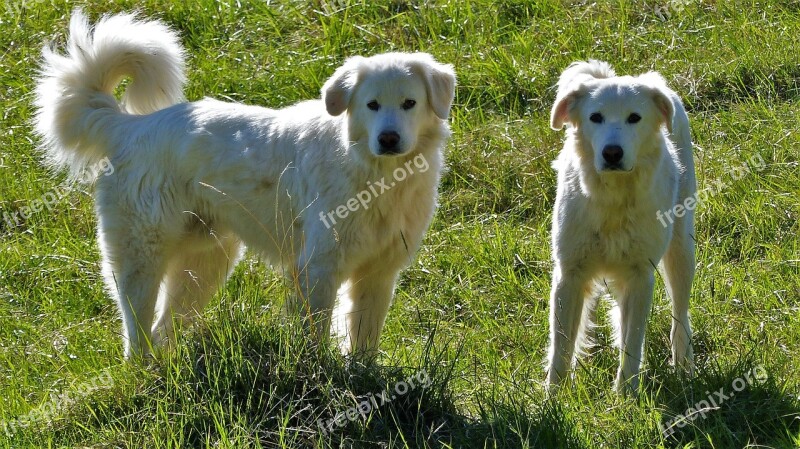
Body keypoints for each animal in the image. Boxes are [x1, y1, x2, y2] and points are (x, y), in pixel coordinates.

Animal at [34, 10, 456, 358]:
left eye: (409, 103)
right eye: (372, 105)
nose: (388, 139)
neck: (376, 176)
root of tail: (129, 126)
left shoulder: (378, 272)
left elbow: (364, 340)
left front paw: (361, 379)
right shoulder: (317, 268)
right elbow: (315, 337)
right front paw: (319, 378)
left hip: (205, 263)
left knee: (161, 332)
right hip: (142, 258)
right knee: (137, 335)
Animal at [548, 59, 696, 392]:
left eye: (634, 118)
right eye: (595, 117)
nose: (612, 153)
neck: (614, 199)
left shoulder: (641, 276)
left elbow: (633, 341)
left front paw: (626, 393)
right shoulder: (569, 273)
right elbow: (561, 345)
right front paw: (553, 397)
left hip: (682, 252)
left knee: (680, 315)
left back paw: (684, 366)